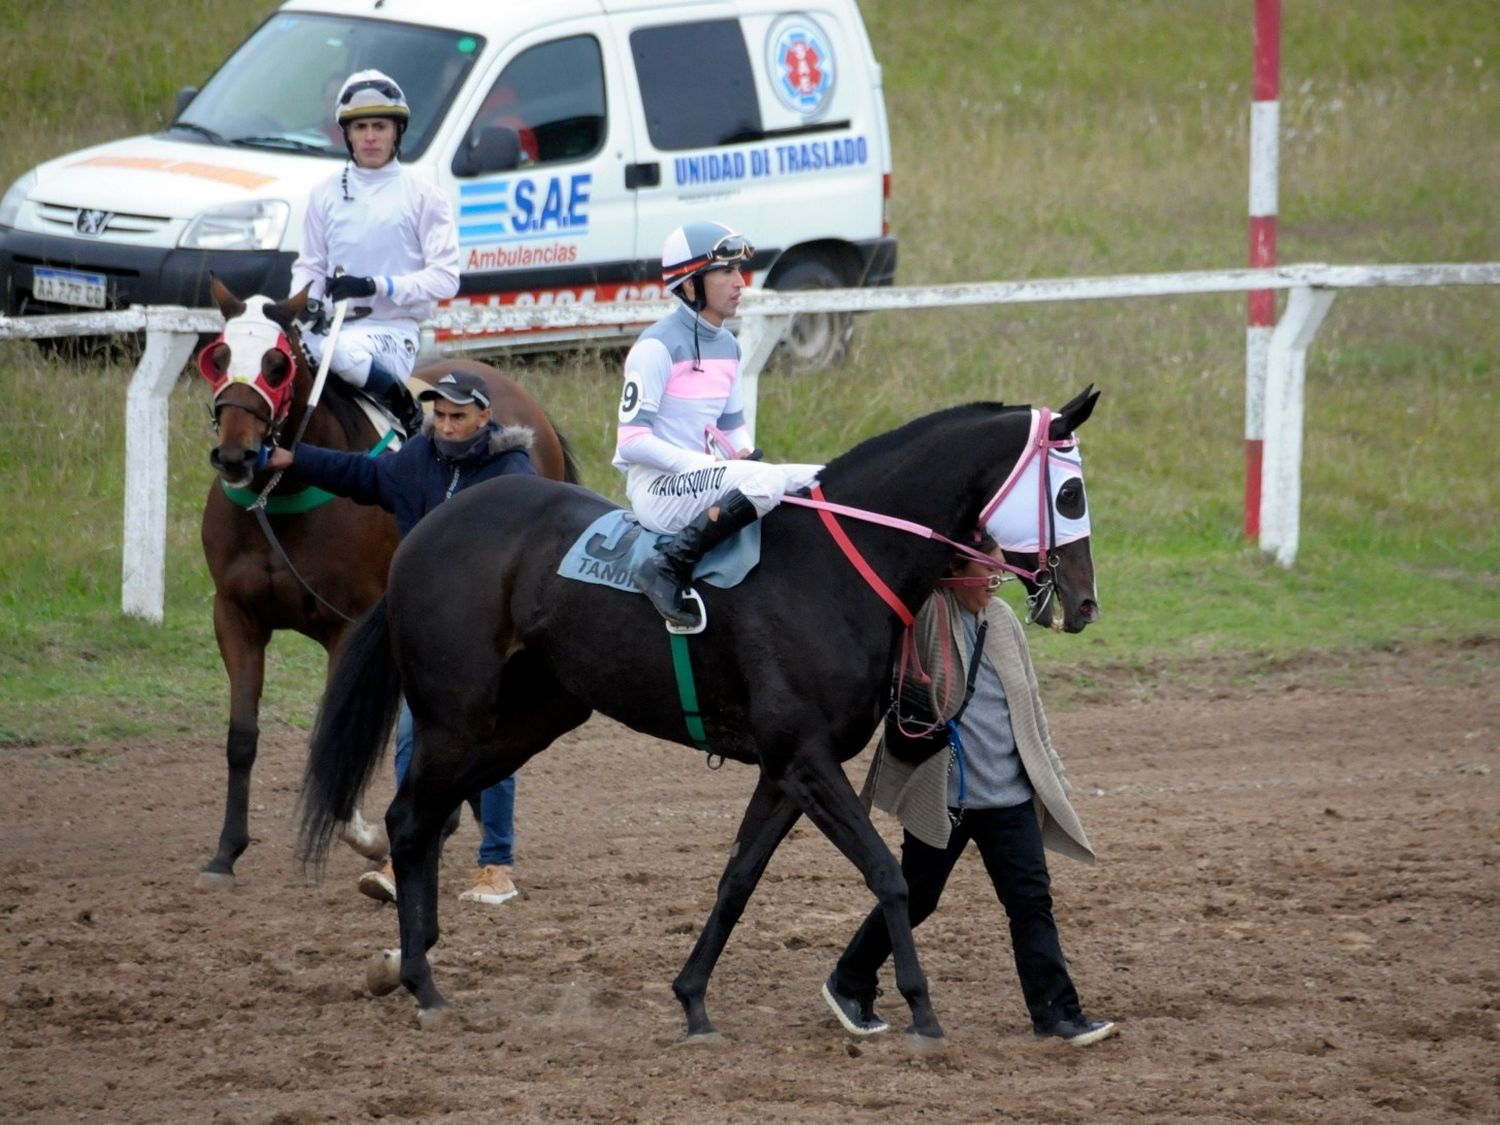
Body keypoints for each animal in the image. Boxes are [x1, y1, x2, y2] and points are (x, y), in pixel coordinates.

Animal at [301, 393, 1104, 1044]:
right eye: (1069, 493)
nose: (1084, 603)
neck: (834, 567)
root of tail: (424, 532)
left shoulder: (786, 771)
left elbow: (737, 880)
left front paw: (692, 1001)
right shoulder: (806, 758)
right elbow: (888, 874)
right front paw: (920, 1009)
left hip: (528, 720)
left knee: (431, 816)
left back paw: (412, 956)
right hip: (455, 714)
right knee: (410, 818)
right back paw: (421, 981)